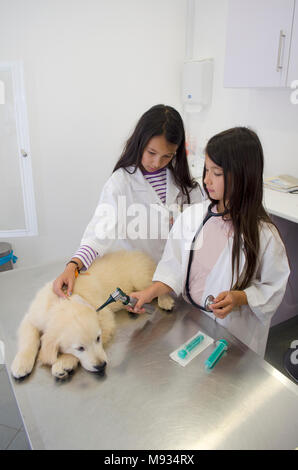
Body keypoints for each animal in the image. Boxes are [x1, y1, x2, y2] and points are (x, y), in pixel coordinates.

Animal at [11, 252, 175, 380]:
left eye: (98, 339)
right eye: (80, 348)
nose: (101, 366)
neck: (63, 302)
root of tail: (141, 253)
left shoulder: (106, 319)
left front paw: (63, 362)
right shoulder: (31, 318)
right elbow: (29, 340)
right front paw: (21, 363)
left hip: (140, 278)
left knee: (159, 285)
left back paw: (165, 300)